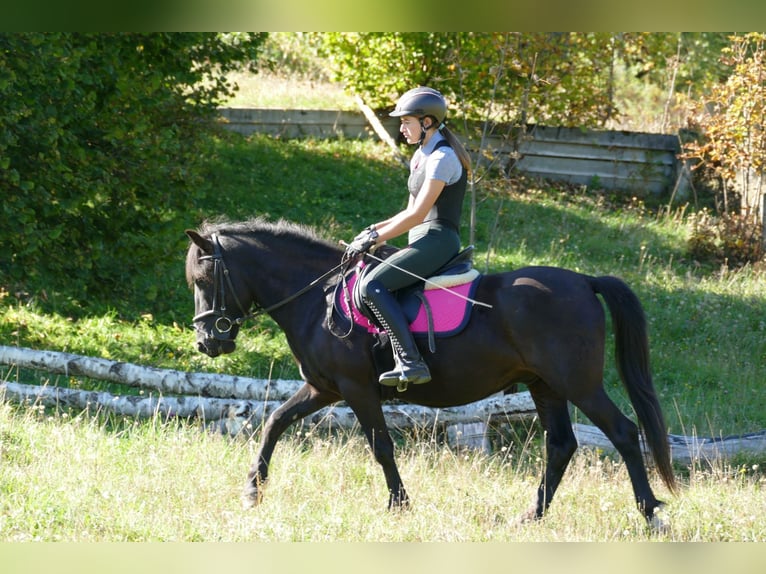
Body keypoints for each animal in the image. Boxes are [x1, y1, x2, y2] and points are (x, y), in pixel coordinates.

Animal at [185, 216, 677, 527]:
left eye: (204, 281)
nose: (208, 342)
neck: (315, 298)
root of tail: (584, 281)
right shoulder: (323, 387)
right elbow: (274, 421)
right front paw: (253, 490)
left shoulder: (356, 388)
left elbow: (381, 447)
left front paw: (399, 505)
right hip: (546, 386)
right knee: (560, 446)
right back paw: (531, 516)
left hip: (578, 383)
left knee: (622, 431)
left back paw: (651, 513)